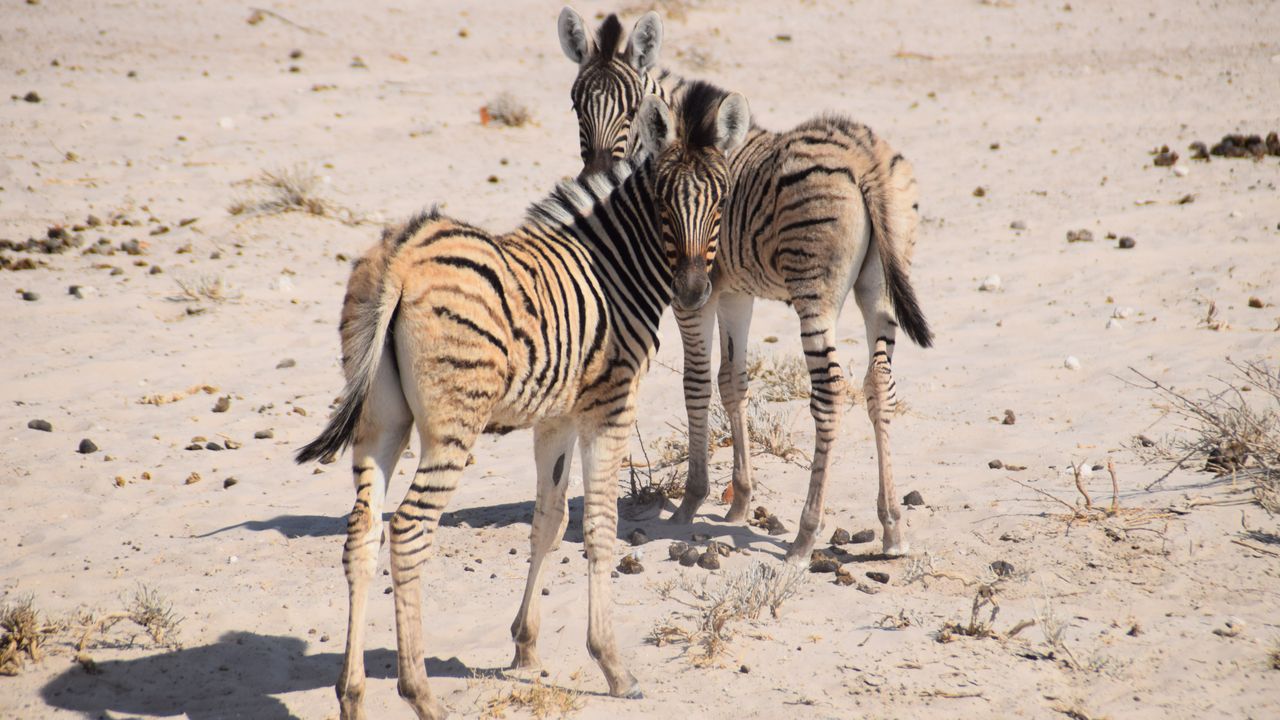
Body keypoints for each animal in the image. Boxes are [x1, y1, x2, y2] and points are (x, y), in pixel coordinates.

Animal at [293, 85, 747, 717]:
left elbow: (548, 521)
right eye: (662, 203)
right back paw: (421, 693)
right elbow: (598, 526)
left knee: (362, 532)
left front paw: (526, 646)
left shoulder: (556, 418)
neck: (615, 266)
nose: (691, 292)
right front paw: (612, 665)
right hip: (451, 425)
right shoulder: (610, 407)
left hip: (380, 424)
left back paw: (353, 694)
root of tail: (404, 253)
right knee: (407, 530)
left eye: (721, 199)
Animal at [555, 9, 936, 561]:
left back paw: (805, 535)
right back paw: (892, 528)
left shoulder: (695, 292)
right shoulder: (735, 291)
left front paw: (692, 501)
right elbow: (732, 381)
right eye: (576, 103)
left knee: (829, 391)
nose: (597, 174)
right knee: (877, 385)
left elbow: (696, 382)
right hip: (879, 288)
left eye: (631, 106)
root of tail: (864, 157)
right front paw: (739, 500)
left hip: (814, 293)